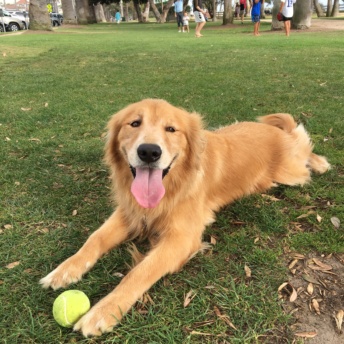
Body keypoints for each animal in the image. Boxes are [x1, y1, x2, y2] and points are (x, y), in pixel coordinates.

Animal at [41, 99, 330, 336]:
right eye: (134, 123)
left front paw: (103, 311)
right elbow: (94, 239)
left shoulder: (181, 239)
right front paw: (64, 270)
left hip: (291, 172)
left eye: (171, 129)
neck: (172, 186)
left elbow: (139, 273)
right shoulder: (131, 212)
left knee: (303, 145)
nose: (149, 152)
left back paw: (320, 163)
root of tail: (274, 132)